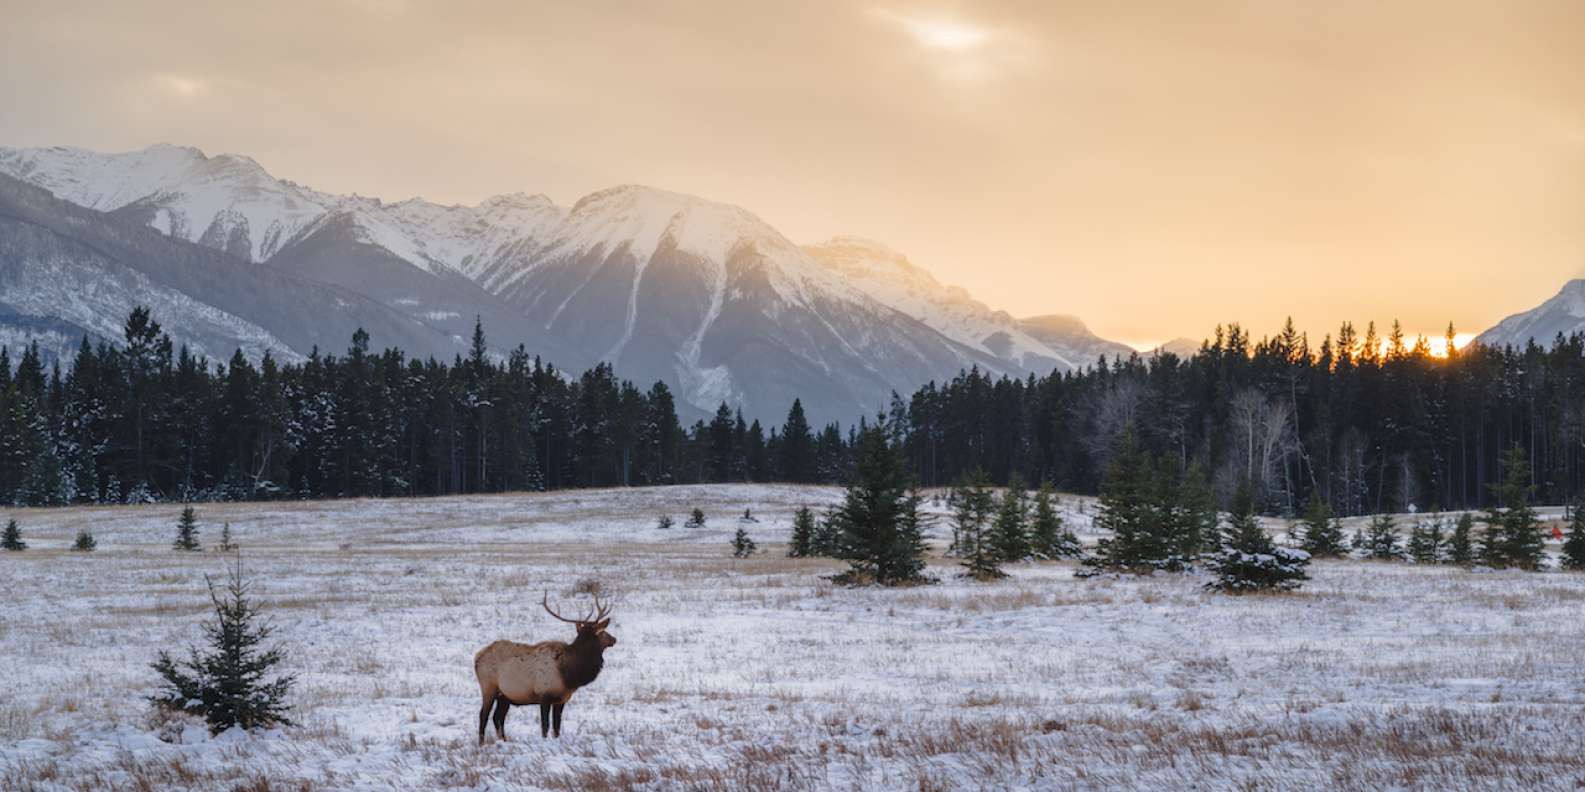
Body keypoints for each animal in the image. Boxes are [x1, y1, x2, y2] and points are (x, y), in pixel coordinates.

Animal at [469, 589, 611, 741]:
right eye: (602, 632)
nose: (614, 639)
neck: (569, 673)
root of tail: (477, 657)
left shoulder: (561, 699)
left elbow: (557, 727)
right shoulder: (544, 695)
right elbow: (545, 726)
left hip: (504, 695)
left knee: (498, 717)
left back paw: (504, 741)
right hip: (488, 687)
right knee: (483, 715)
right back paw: (481, 743)